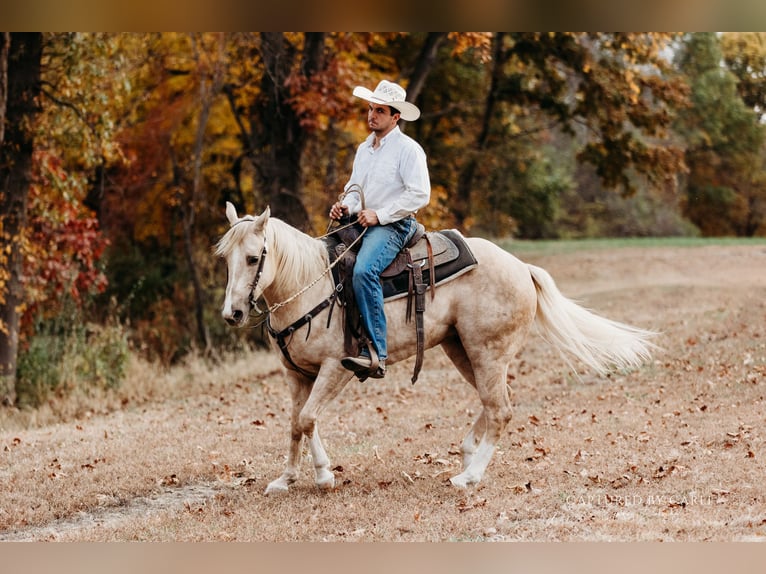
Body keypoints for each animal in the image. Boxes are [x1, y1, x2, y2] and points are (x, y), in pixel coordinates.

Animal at [216, 202, 656, 494]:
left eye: (253, 258)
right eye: (226, 260)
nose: (232, 314)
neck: (310, 285)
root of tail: (522, 268)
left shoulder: (336, 368)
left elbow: (307, 419)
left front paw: (324, 476)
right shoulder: (296, 374)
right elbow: (295, 424)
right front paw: (286, 479)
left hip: (486, 352)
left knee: (501, 408)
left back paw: (469, 475)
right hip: (461, 349)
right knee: (495, 401)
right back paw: (467, 453)